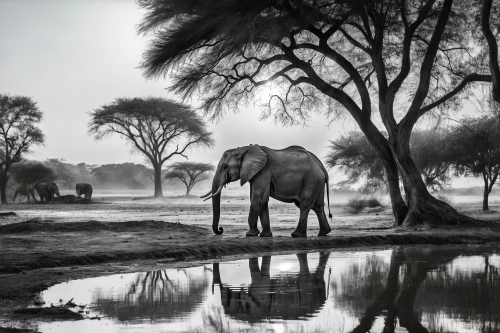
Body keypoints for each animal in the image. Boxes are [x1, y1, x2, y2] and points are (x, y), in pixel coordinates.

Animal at [201, 145, 334, 236]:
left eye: (224, 166)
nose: (220, 230)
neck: (244, 149)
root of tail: (322, 167)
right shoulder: (255, 173)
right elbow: (262, 200)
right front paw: (265, 235)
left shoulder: (263, 171)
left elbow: (258, 198)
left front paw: (250, 235)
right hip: (317, 182)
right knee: (318, 206)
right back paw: (324, 233)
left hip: (311, 180)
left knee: (305, 205)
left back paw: (296, 235)